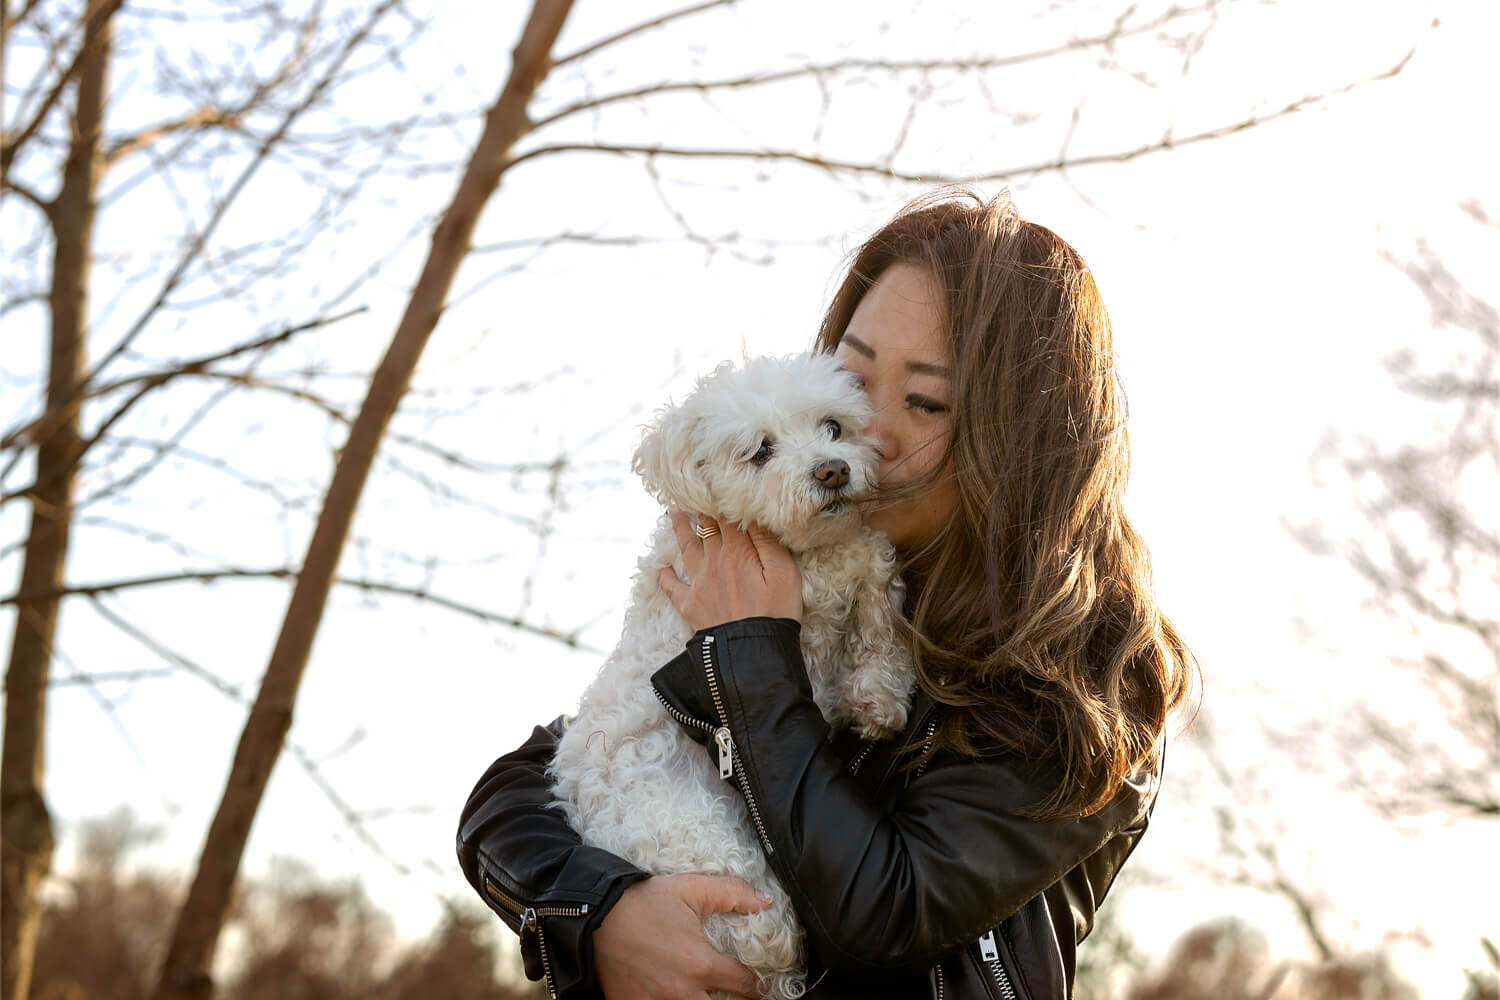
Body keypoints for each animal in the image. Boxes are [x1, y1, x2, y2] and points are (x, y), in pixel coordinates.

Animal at [552, 355, 912, 995]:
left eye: (833, 427)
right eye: (760, 451)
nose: (833, 470)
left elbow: (875, 592)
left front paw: (881, 693)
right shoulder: (801, 589)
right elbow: (865, 554)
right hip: (723, 866)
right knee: (769, 939)